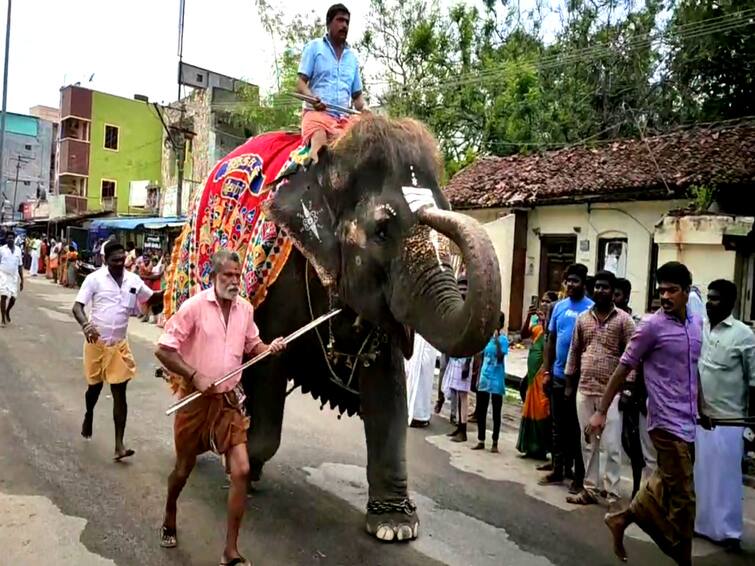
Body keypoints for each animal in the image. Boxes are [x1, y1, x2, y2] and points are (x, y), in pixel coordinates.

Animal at [168, 116, 504, 544]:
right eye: (382, 230)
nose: (433, 211)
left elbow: (388, 392)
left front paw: (395, 526)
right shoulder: (282, 279)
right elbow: (267, 363)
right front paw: (242, 465)